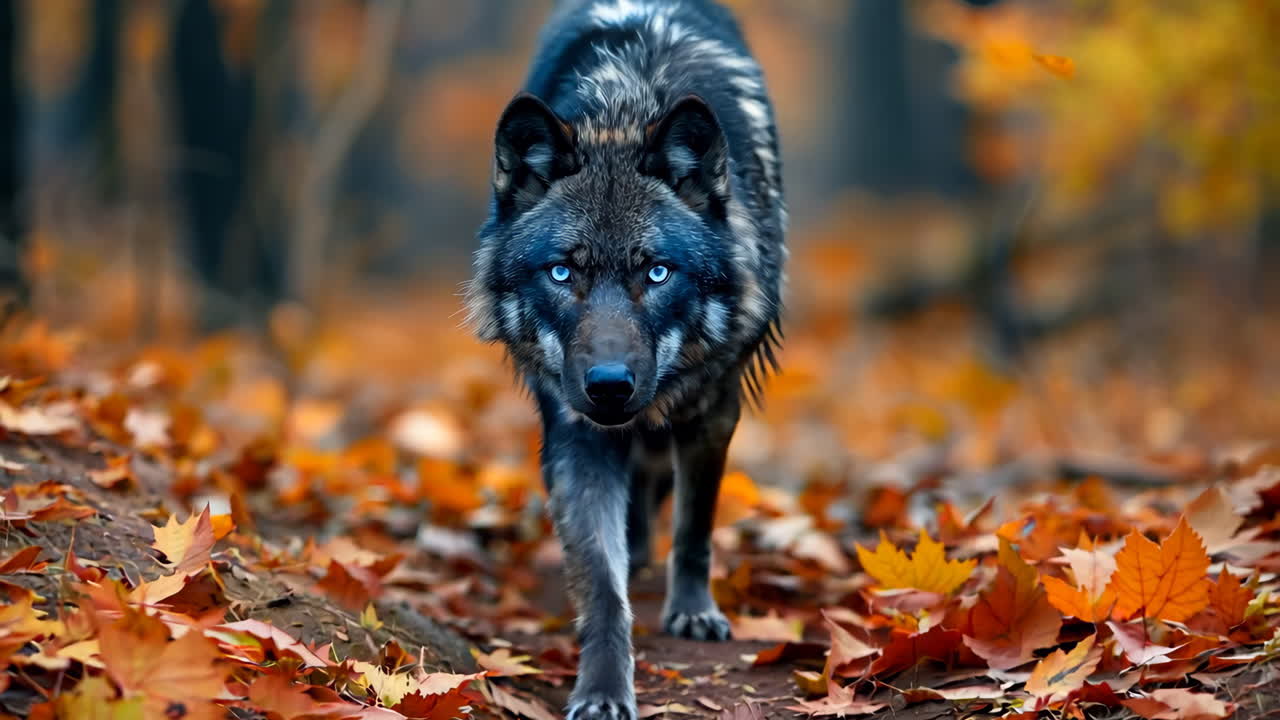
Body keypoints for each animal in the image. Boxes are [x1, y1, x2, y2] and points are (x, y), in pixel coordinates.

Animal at [466, 0, 785, 717]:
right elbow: (602, 588)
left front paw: (692, 612)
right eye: (562, 272)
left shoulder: (712, 408)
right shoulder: (576, 434)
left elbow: (694, 528)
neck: (628, 100)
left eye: (657, 272)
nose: (609, 385)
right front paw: (604, 687)